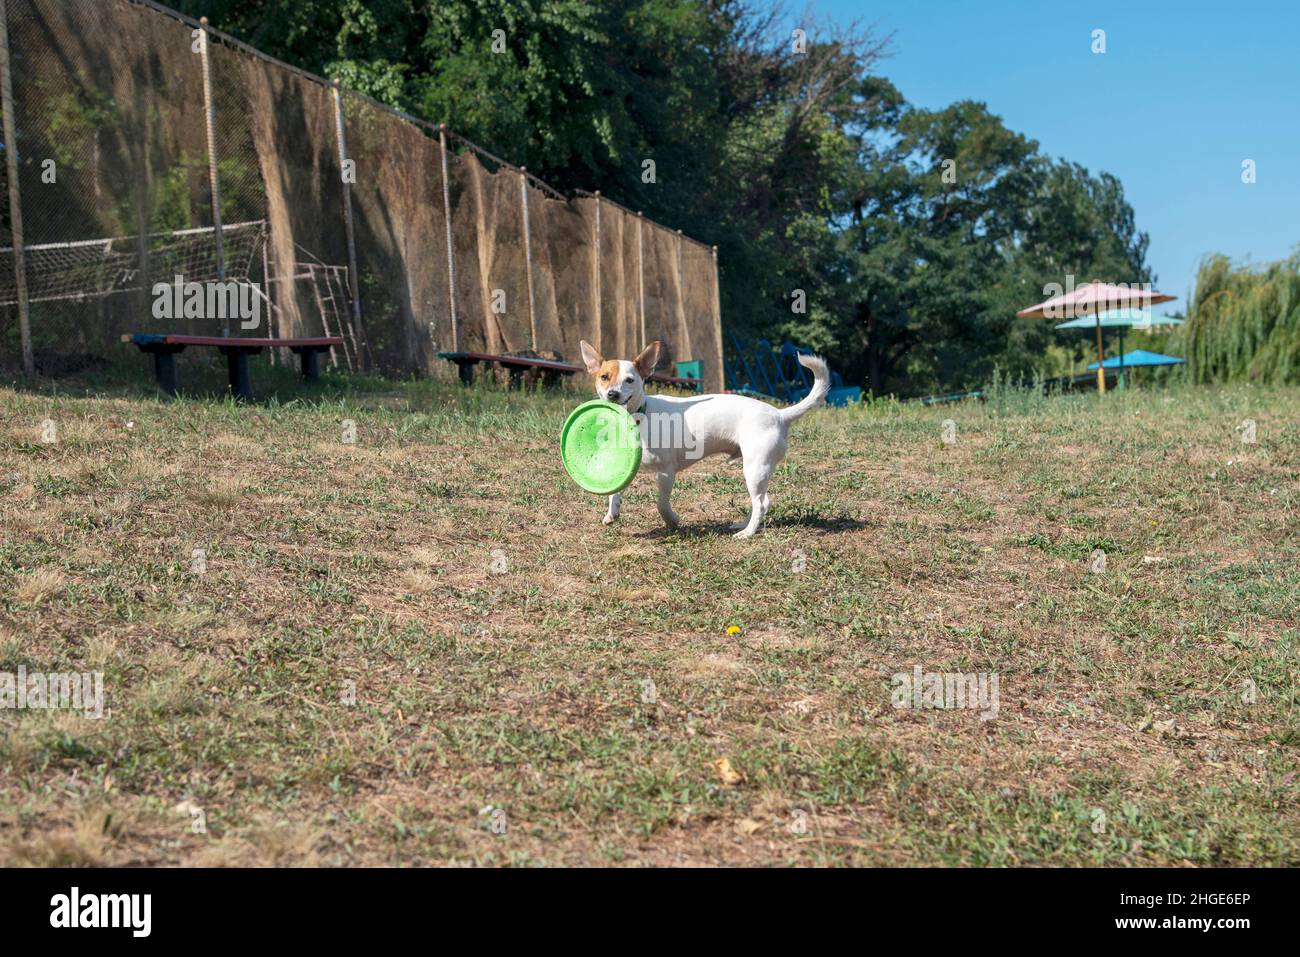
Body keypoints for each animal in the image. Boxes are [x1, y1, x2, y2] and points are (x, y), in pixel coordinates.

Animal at [582, 340, 826, 538]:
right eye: (604, 377)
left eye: (630, 380)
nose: (613, 394)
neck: (640, 416)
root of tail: (779, 414)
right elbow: (614, 494)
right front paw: (612, 514)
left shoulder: (666, 472)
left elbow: (662, 503)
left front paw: (672, 521)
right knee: (759, 502)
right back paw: (742, 525)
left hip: (755, 468)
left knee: (762, 503)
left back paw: (747, 533)